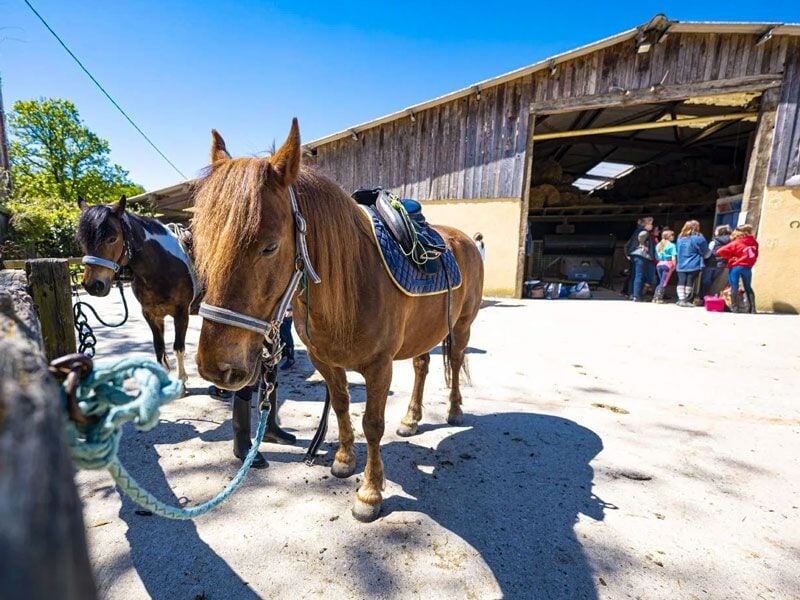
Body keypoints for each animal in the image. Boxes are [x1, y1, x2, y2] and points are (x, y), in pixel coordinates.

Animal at [76, 196, 197, 386]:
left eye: (112, 238)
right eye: (83, 241)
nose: (93, 285)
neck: (163, 267)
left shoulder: (182, 313)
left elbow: (178, 348)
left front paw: (182, 381)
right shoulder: (151, 315)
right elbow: (159, 348)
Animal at [191, 119, 484, 521]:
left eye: (269, 247)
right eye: (198, 242)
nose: (214, 366)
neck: (353, 282)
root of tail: (463, 239)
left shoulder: (379, 367)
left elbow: (372, 424)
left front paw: (370, 493)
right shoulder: (324, 361)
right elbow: (343, 406)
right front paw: (344, 461)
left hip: (463, 326)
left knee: (454, 363)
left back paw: (454, 410)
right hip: (423, 333)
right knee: (422, 366)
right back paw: (411, 419)